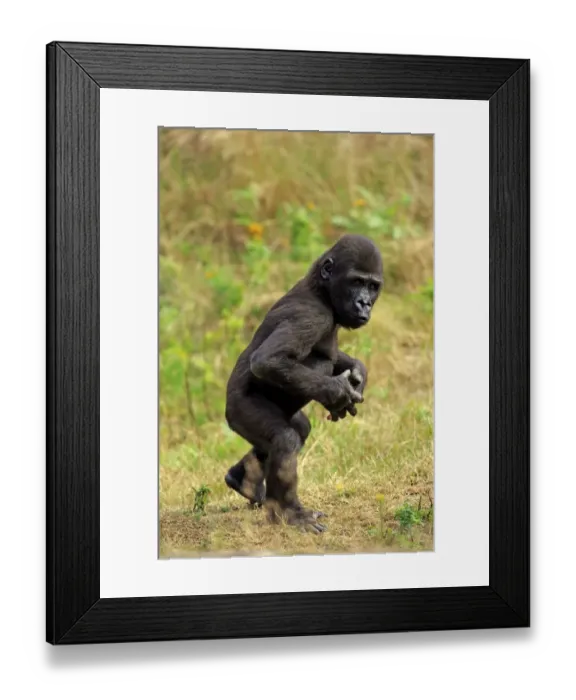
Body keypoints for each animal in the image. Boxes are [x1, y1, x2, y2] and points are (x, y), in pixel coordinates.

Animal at [224, 233, 383, 533]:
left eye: (372, 286)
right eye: (356, 282)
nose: (364, 303)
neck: (321, 290)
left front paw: (358, 372)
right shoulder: (311, 316)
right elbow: (268, 360)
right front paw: (338, 391)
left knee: (296, 429)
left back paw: (245, 479)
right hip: (239, 411)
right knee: (286, 438)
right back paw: (289, 513)